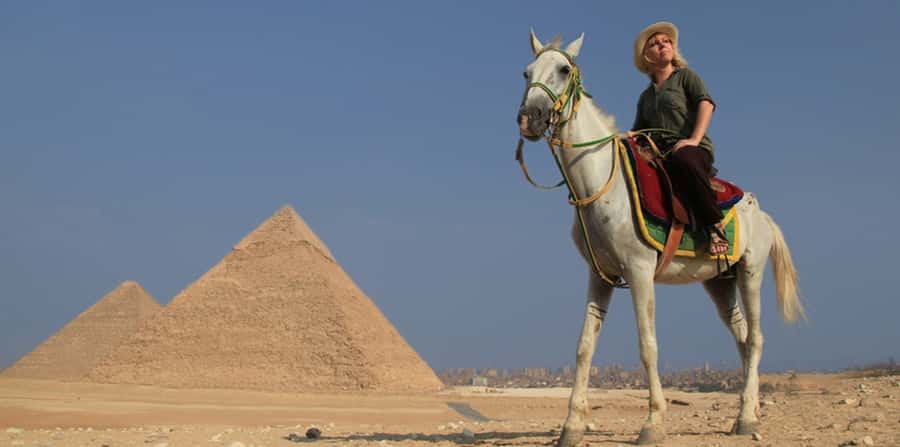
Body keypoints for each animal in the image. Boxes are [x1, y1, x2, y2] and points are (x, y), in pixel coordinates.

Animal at [515, 30, 805, 446]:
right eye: (526, 72)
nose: (529, 118)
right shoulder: (600, 276)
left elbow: (648, 346)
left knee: (757, 338)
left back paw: (748, 418)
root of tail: (761, 212)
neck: (602, 185)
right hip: (720, 281)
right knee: (743, 337)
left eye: (564, 69)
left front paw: (652, 423)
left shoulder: (639, 271)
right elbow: (584, 347)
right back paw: (746, 412)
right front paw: (571, 426)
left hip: (751, 271)